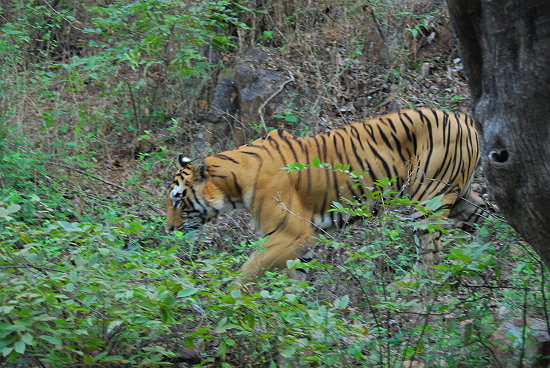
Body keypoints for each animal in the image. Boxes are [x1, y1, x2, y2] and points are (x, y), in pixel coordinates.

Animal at [167, 108, 488, 288]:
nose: (168, 229)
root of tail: (464, 118)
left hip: (428, 199)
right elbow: (294, 280)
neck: (233, 184)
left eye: (178, 200)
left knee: (429, 256)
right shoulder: (301, 242)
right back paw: (484, 262)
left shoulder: (290, 234)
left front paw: (230, 302)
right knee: (485, 217)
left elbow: (248, 271)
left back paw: (409, 288)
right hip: (460, 196)